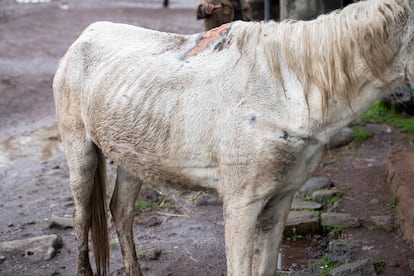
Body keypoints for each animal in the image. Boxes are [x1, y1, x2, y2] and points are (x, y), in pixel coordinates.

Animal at [53, 1, 414, 274]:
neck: (287, 90)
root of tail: (82, 37)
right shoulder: (242, 204)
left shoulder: (281, 199)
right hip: (80, 149)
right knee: (82, 218)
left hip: (133, 157)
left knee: (122, 212)